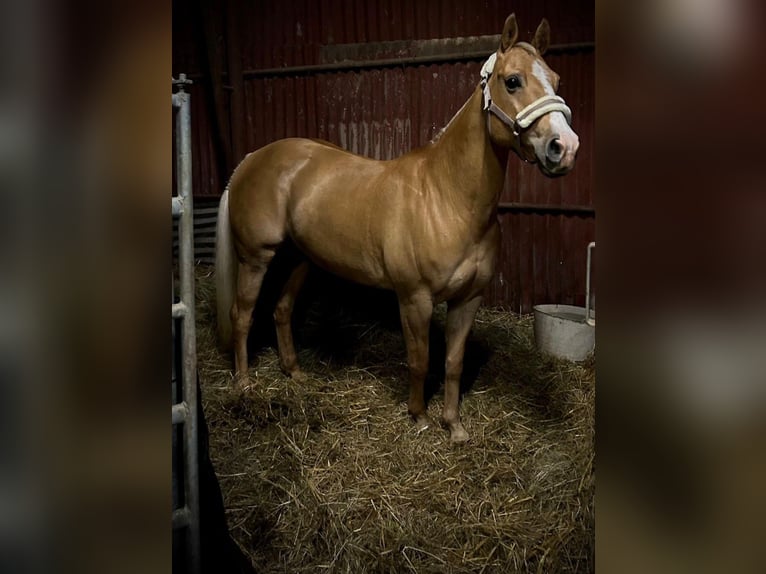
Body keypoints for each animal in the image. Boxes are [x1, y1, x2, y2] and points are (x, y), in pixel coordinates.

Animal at [215, 14, 579, 442]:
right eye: (512, 81)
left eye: (555, 80)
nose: (565, 147)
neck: (448, 199)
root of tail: (253, 157)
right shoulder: (414, 298)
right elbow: (420, 359)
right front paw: (419, 416)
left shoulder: (468, 299)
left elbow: (453, 363)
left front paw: (453, 426)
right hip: (255, 258)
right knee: (242, 315)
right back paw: (244, 384)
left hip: (300, 258)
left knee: (282, 310)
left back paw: (295, 372)